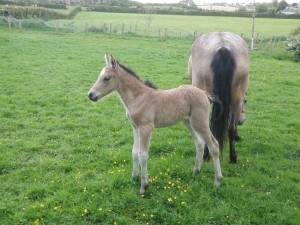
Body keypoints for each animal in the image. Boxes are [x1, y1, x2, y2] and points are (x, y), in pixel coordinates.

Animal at [88, 55, 221, 195]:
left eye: (107, 78)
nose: (90, 95)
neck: (139, 98)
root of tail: (205, 94)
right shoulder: (135, 128)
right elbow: (134, 152)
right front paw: (133, 177)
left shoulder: (146, 128)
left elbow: (143, 155)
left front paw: (143, 186)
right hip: (188, 122)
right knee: (200, 143)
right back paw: (195, 173)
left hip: (200, 123)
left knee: (214, 145)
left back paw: (217, 181)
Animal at [188, 31, 248, 163]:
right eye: (245, 102)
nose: (242, 121)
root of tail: (223, 47)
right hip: (235, 99)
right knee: (231, 129)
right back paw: (232, 157)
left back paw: (206, 155)